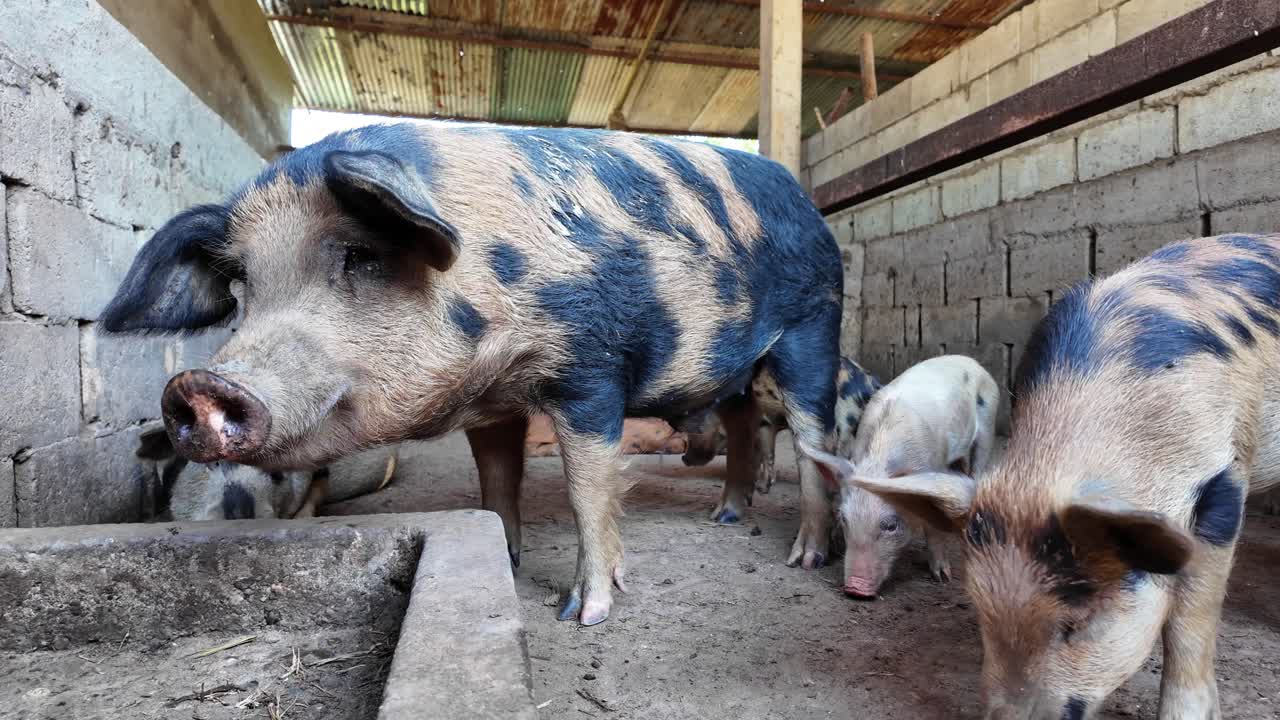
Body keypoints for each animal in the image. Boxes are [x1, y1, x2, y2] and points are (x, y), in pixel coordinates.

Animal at [99, 122, 843, 625]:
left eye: (360, 256)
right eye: (241, 285)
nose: (198, 388)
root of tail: (809, 205)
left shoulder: (591, 373)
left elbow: (587, 491)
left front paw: (585, 614)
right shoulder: (496, 404)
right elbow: (495, 482)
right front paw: (506, 559)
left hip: (814, 326)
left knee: (816, 442)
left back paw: (806, 557)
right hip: (743, 371)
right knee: (745, 427)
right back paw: (726, 516)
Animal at [800, 355, 997, 598]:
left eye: (890, 525)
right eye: (844, 518)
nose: (854, 589)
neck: (880, 462)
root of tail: (969, 360)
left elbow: (932, 528)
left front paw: (943, 577)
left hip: (989, 423)